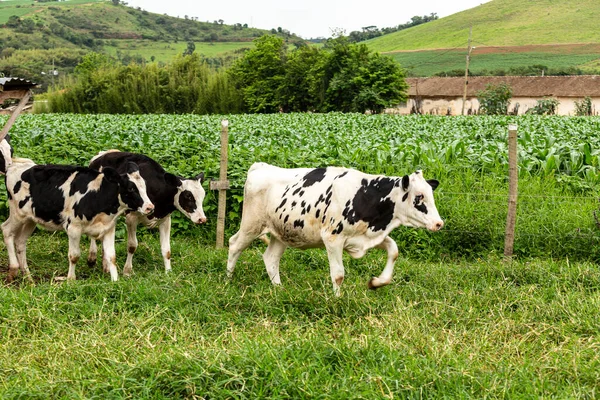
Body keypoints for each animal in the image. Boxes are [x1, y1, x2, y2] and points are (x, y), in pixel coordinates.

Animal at [2, 158, 154, 282]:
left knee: (20, 242)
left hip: (31, 219)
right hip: (17, 214)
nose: (150, 207)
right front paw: (70, 280)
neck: (98, 195)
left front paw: (115, 281)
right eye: (131, 188)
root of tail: (15, 165)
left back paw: (28, 277)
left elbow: (111, 257)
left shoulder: (109, 228)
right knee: (6, 230)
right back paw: (14, 270)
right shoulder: (73, 228)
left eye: (145, 186)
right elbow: (74, 256)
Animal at [227, 161, 442, 296]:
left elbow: (394, 250)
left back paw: (279, 289)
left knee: (270, 258)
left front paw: (376, 282)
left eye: (431, 194)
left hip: (282, 232)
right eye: (419, 197)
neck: (366, 195)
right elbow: (338, 274)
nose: (439, 223)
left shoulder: (366, 236)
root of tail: (261, 166)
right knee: (234, 245)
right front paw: (337, 299)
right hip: (251, 225)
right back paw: (228, 280)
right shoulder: (332, 238)